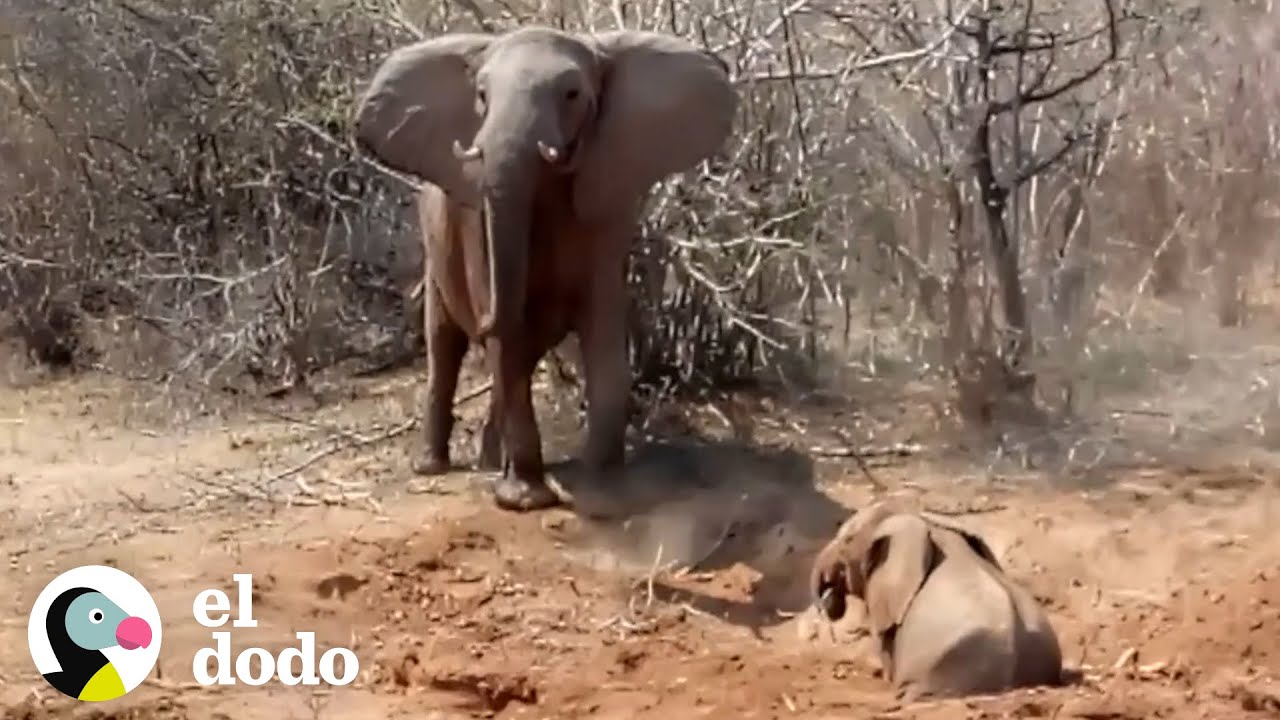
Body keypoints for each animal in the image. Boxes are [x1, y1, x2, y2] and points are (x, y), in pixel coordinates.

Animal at [351, 26, 737, 511]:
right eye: (481, 95)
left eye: (572, 94)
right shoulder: (477, 219)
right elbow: (507, 337)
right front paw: (523, 500)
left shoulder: (606, 203)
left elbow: (602, 326)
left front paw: (602, 482)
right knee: (446, 343)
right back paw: (435, 467)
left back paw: (488, 462)